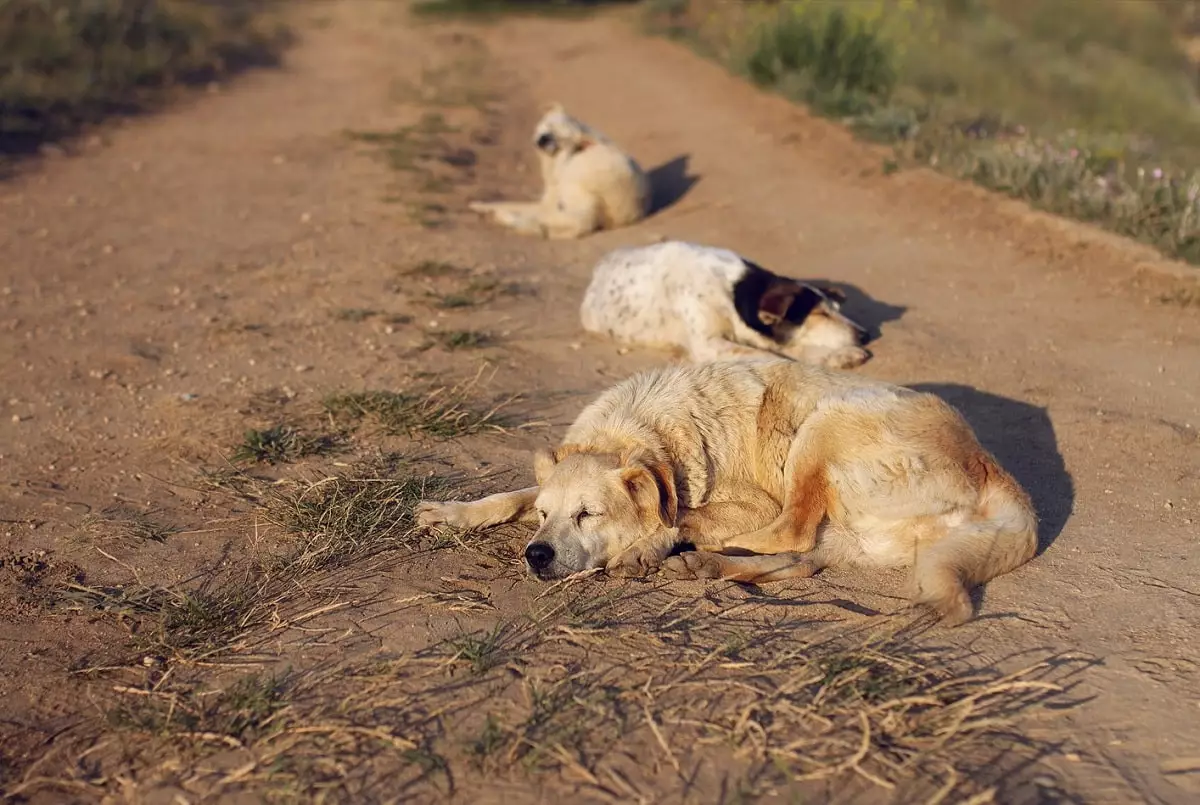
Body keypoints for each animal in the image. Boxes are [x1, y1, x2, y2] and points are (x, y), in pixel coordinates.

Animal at [417, 359, 1036, 628]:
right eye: (548, 516)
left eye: (587, 515)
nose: (536, 555)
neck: (645, 430)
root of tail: (991, 467)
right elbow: (512, 495)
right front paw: (453, 512)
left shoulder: (748, 502)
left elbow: (679, 517)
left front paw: (644, 545)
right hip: (846, 523)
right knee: (801, 560)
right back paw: (707, 567)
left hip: (825, 425)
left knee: (790, 530)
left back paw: (687, 556)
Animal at [470, 103, 657, 239]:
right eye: (549, 125)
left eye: (563, 139)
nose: (544, 139)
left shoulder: (554, 192)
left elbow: (515, 204)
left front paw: (480, 205)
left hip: (577, 185)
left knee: (576, 221)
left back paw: (510, 219)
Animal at [580, 237, 873, 367]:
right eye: (821, 314)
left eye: (836, 310)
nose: (866, 335)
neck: (735, 294)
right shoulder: (708, 344)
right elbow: (774, 357)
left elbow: (795, 350)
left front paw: (841, 355)